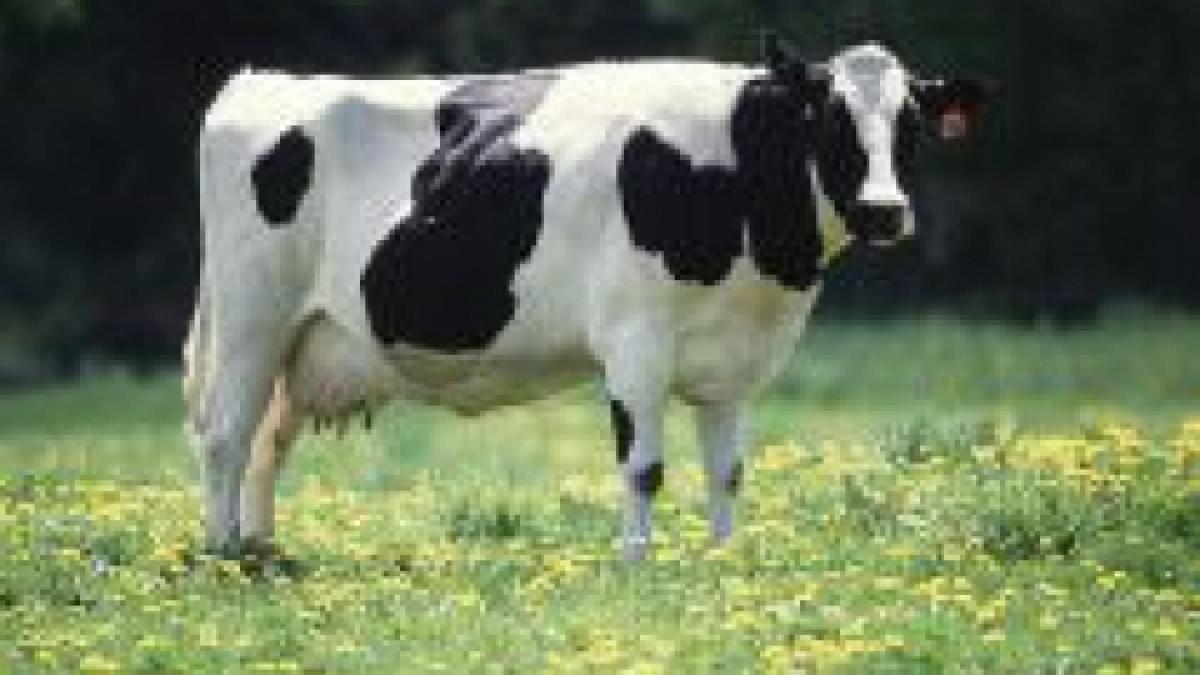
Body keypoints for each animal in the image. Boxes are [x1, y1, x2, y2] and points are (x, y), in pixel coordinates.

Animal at [183, 34, 988, 560]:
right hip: (252, 315)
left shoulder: (733, 359)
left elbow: (727, 471)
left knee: (267, 442)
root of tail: (260, 81)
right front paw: (635, 563)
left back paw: (264, 552)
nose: (884, 210)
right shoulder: (635, 339)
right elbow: (644, 467)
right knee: (224, 436)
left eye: (910, 124)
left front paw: (725, 562)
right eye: (829, 119)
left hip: (304, 340)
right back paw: (224, 555)